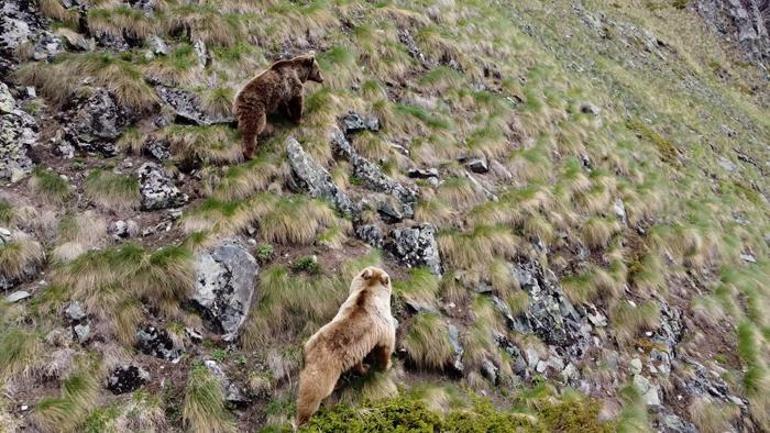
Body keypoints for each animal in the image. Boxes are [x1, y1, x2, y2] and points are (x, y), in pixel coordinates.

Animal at [294, 266, 396, 426]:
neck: (369, 291)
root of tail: (308, 352)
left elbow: (359, 360)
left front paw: (364, 367)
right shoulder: (384, 323)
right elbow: (386, 345)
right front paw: (387, 365)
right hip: (322, 374)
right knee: (312, 395)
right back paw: (304, 419)